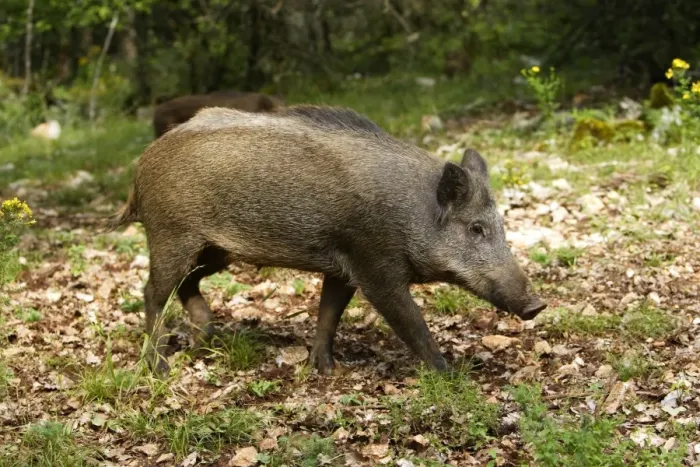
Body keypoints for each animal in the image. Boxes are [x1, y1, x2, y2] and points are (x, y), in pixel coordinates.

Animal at [107, 105, 546, 376]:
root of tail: (140, 168)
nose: (538, 304)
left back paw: (204, 341)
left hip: (214, 251)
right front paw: (449, 374)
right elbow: (411, 322)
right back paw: (161, 367)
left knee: (186, 285)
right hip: (171, 235)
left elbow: (329, 313)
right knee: (152, 292)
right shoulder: (374, 264)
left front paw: (325, 368)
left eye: (501, 224)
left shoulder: (343, 265)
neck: (411, 212)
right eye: (475, 228)